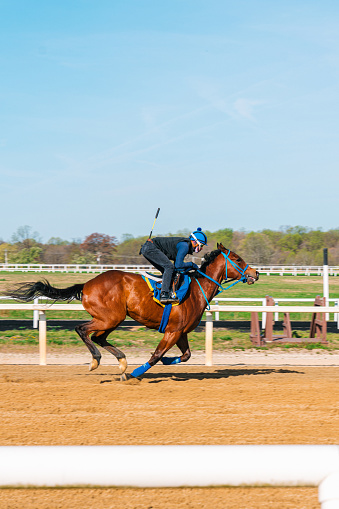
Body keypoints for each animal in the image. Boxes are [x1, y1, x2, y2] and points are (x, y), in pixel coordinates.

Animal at [6, 244, 258, 380]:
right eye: (237, 259)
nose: (255, 273)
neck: (195, 290)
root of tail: (87, 285)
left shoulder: (181, 332)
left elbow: (185, 355)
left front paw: (166, 361)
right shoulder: (172, 332)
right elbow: (155, 355)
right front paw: (137, 373)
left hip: (112, 319)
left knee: (99, 337)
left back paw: (121, 361)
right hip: (110, 317)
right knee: (82, 330)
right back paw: (97, 361)